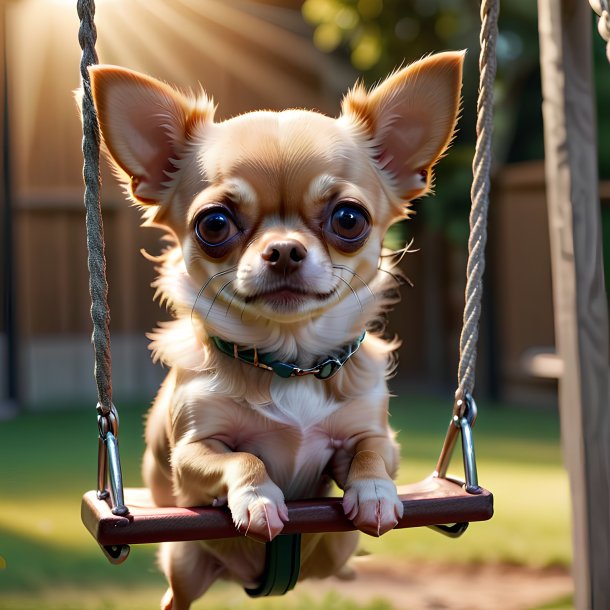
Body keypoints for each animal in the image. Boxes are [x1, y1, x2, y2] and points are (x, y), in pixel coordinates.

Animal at [89, 53, 460, 608]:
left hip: (336, 549)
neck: (290, 363)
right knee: (178, 595)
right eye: (214, 224)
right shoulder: (190, 453)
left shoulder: (373, 433)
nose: (284, 249)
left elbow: (372, 452)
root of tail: (244, 580)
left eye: (349, 218)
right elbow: (243, 457)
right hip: (184, 563)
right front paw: (259, 499)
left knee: (341, 562)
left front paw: (374, 492)